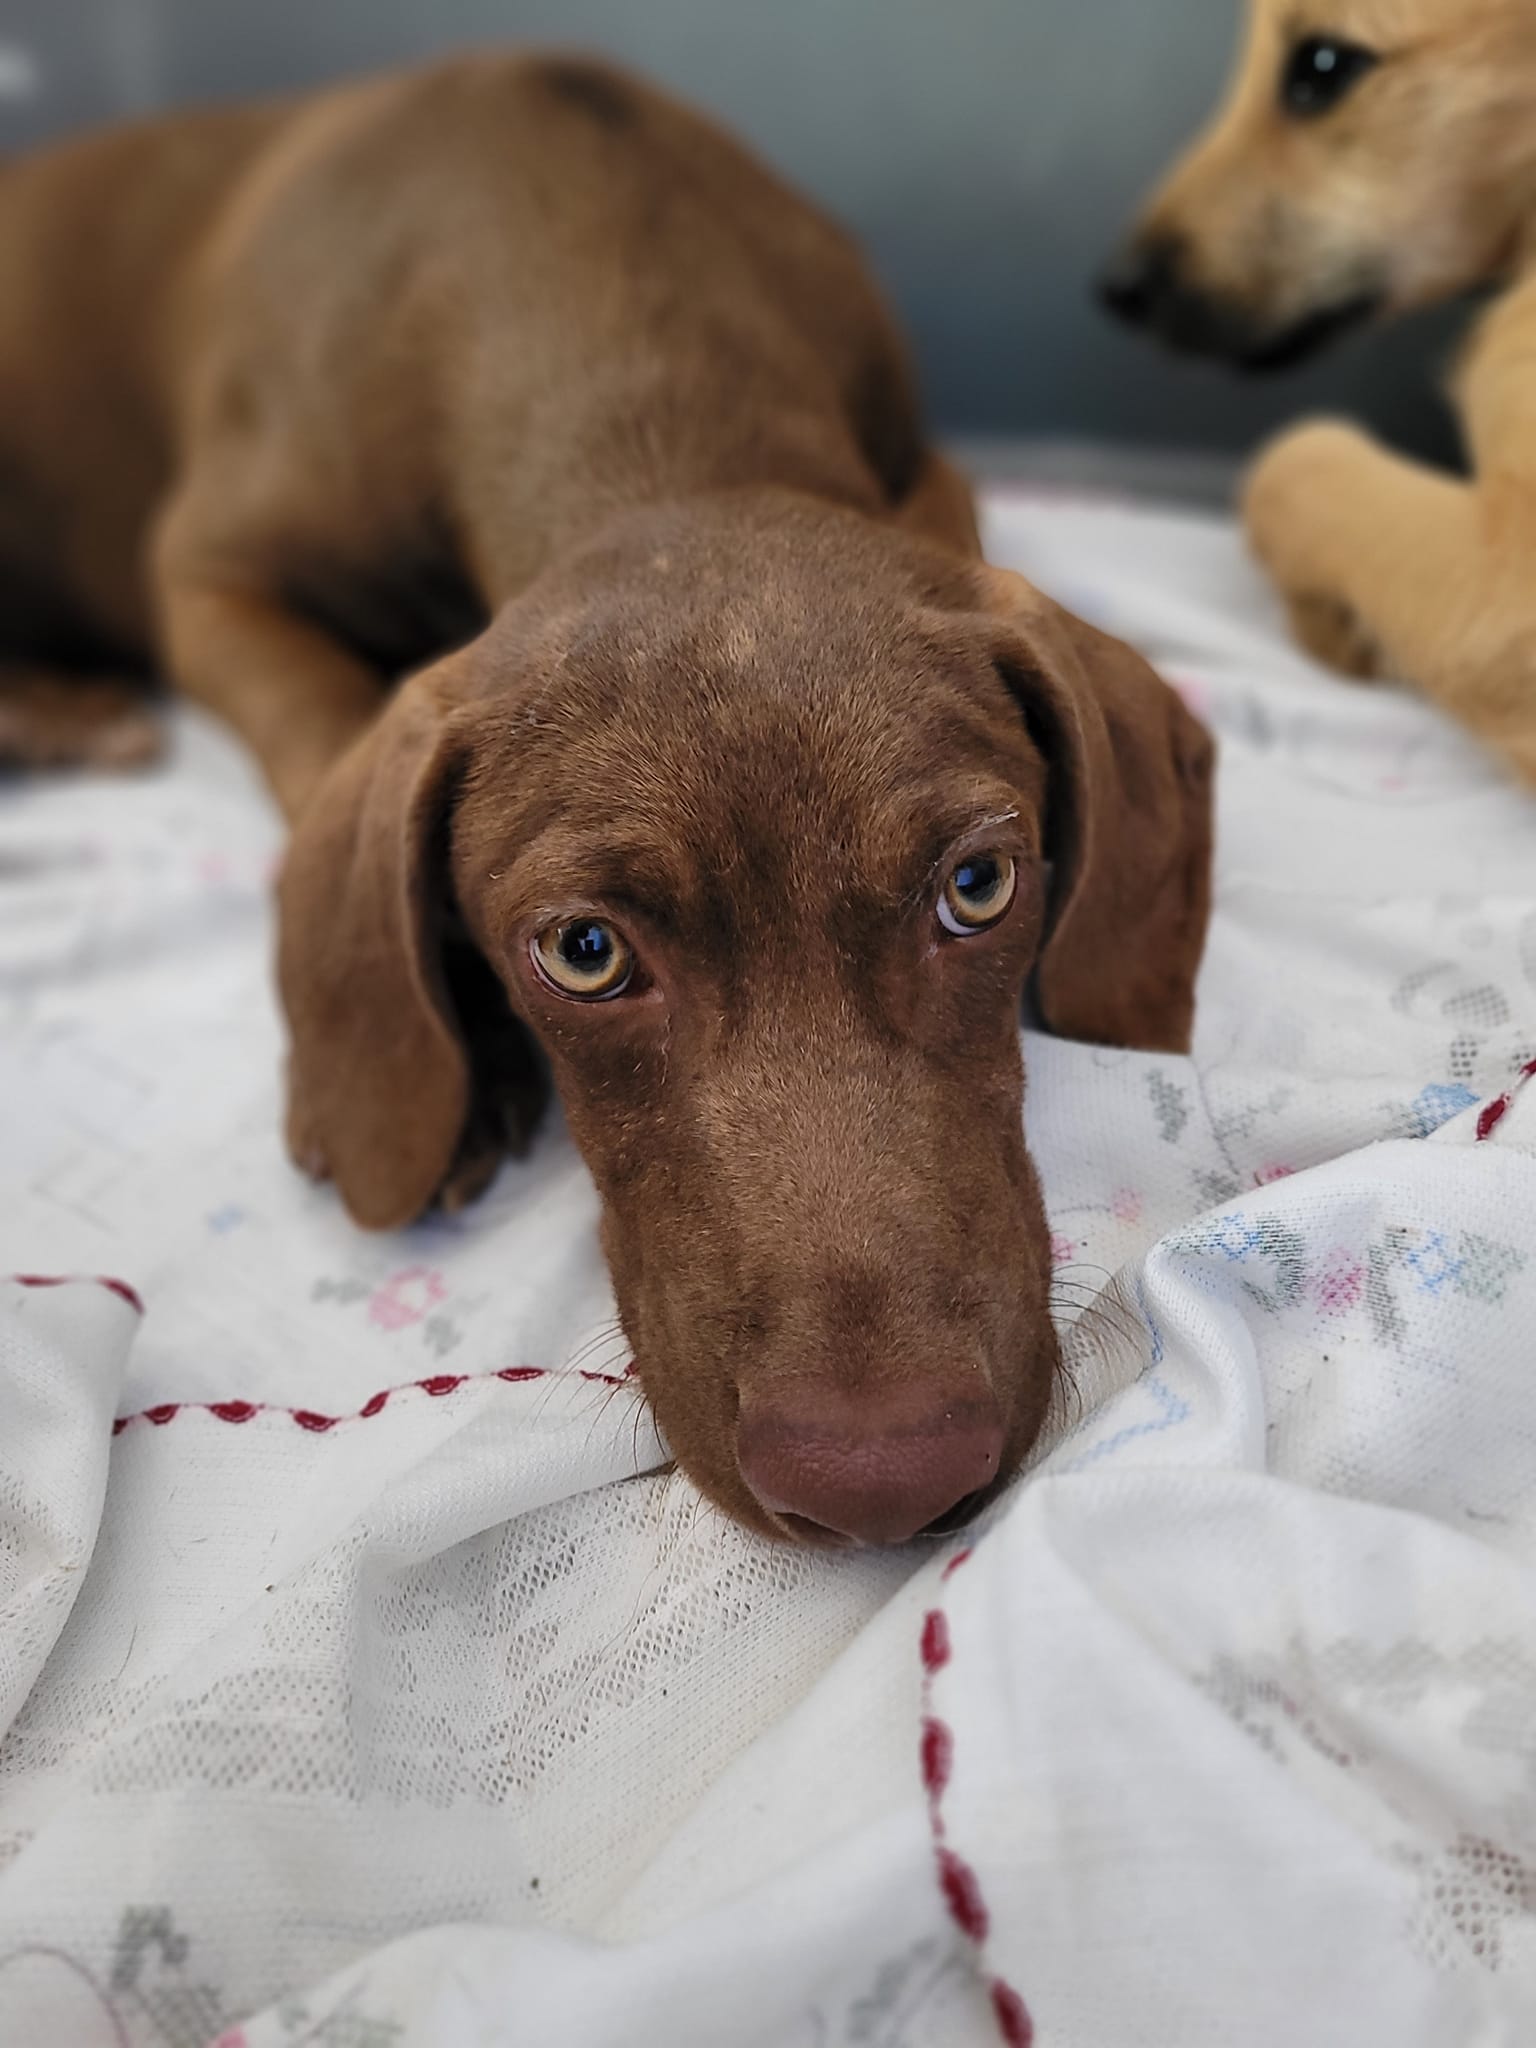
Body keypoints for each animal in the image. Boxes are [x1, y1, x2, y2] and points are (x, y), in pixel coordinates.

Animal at [0, 53, 1214, 1544]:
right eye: (583, 953)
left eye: (979, 886)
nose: (881, 1481)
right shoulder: (207, 573)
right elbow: (320, 734)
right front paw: (448, 1065)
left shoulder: (932, 476)